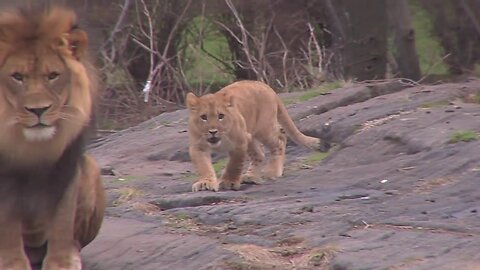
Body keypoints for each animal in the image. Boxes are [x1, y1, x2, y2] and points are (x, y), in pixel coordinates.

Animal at [0, 6, 105, 270]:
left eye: (53, 76)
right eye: (17, 76)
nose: (39, 110)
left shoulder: (65, 167)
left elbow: (62, 219)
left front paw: (62, 262)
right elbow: (7, 222)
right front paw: (12, 263)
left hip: (91, 167)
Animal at [187, 80, 330, 192]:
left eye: (220, 116)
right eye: (203, 117)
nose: (213, 131)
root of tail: (265, 86)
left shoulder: (240, 142)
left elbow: (234, 164)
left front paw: (229, 182)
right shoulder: (197, 147)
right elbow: (203, 166)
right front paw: (205, 183)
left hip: (263, 128)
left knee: (280, 138)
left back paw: (272, 171)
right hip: (252, 135)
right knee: (259, 154)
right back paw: (250, 177)